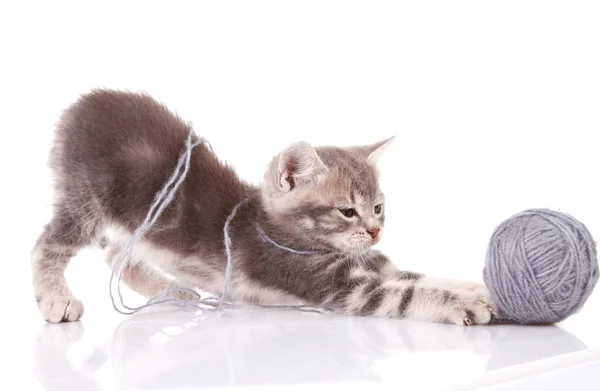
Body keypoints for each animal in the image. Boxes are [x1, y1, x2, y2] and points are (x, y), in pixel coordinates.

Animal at [30, 90, 494, 326]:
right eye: (347, 211)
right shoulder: (343, 287)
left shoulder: (375, 264)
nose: (377, 231)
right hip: (87, 201)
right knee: (47, 246)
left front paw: (477, 288)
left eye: (378, 208)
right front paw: (460, 304)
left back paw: (171, 290)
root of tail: (81, 103)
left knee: (115, 252)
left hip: (138, 225)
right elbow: (407, 292)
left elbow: (419, 275)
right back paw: (56, 299)